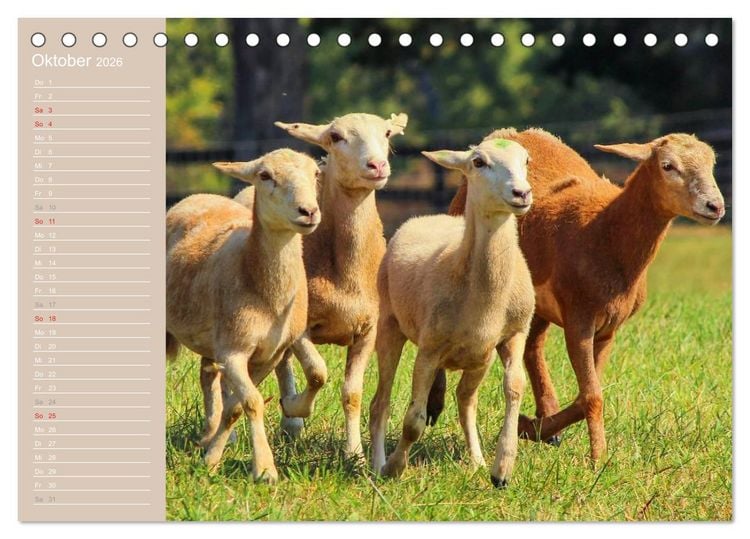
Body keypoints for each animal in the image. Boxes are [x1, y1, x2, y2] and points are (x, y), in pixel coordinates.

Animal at [166, 148, 322, 483]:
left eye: (316, 173)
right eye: (265, 175)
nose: (308, 211)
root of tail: (197, 195)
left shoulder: (268, 355)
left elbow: (236, 407)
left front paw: (211, 458)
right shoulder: (234, 351)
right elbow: (252, 402)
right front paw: (264, 468)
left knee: (207, 375)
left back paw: (208, 435)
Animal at [369, 138, 535, 487]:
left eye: (526, 160)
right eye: (478, 162)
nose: (521, 193)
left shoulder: (515, 334)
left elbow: (514, 388)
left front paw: (502, 468)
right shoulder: (429, 349)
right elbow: (413, 421)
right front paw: (394, 468)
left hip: (480, 358)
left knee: (465, 401)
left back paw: (477, 461)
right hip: (389, 324)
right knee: (381, 403)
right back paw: (377, 465)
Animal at [427, 128, 726, 464]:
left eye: (712, 163)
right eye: (668, 166)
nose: (715, 206)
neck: (606, 235)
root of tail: (512, 132)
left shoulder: (609, 327)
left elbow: (586, 394)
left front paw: (531, 427)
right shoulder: (578, 318)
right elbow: (592, 395)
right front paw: (599, 458)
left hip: (538, 304)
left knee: (533, 347)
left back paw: (547, 416)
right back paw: (434, 403)